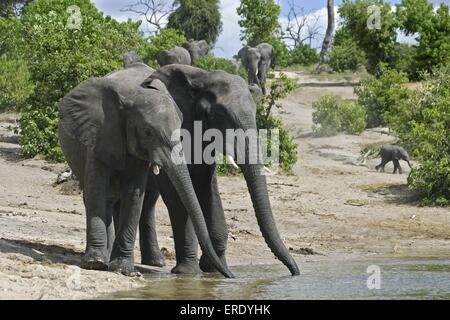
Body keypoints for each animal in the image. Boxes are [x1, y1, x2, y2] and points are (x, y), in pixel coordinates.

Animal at [56, 63, 234, 276]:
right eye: (148, 132)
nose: (230, 276)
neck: (132, 97)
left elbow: (134, 195)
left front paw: (122, 269)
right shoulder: (99, 134)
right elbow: (96, 189)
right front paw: (95, 263)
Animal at [137, 64, 298, 276]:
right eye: (220, 114)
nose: (294, 272)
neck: (202, 78)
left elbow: (207, 187)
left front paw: (213, 270)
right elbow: (176, 195)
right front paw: (188, 273)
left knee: (148, 201)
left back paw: (156, 262)